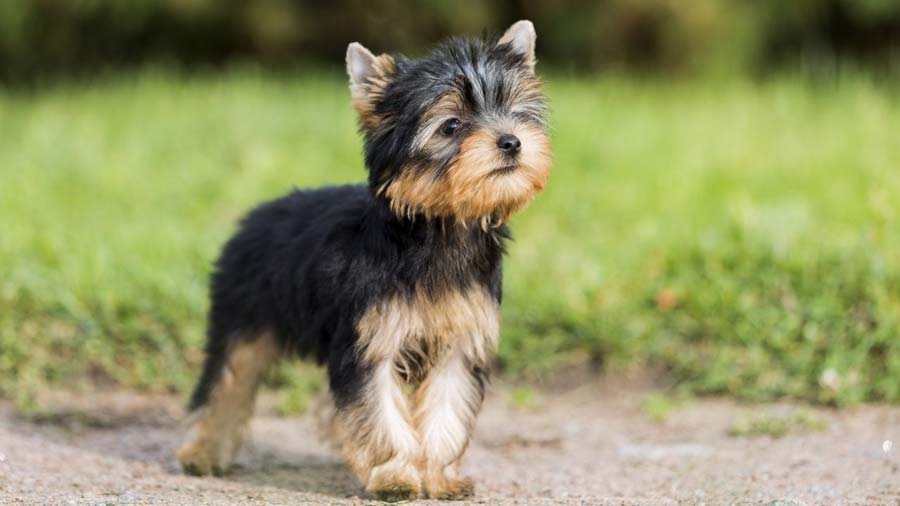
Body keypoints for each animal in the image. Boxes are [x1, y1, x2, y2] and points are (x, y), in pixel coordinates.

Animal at [176, 20, 548, 502]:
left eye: (515, 111)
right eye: (451, 126)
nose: (511, 142)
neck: (438, 226)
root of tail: (256, 215)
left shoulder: (460, 340)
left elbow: (446, 410)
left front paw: (438, 476)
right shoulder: (371, 339)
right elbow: (379, 408)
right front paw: (395, 475)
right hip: (242, 314)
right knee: (227, 381)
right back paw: (202, 452)